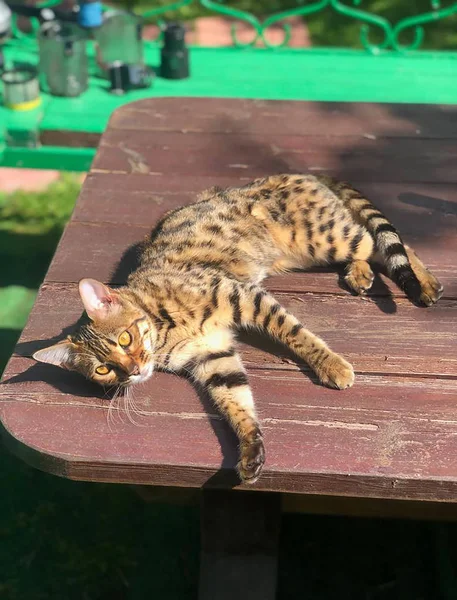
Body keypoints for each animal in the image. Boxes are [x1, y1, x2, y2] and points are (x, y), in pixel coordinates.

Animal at [33, 173, 442, 482]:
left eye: (125, 337)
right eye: (103, 370)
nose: (133, 370)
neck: (163, 332)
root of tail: (301, 173)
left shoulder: (243, 296)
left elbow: (295, 333)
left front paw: (331, 365)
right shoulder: (213, 356)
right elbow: (236, 402)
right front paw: (250, 448)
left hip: (324, 237)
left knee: (387, 244)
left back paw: (425, 283)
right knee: (371, 248)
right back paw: (359, 273)